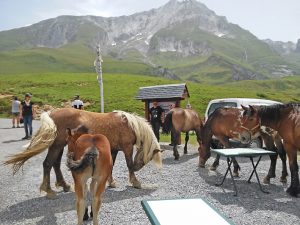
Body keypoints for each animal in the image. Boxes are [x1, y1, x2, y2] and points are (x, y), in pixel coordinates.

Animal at [3, 108, 163, 198]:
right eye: (148, 158)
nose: (138, 167)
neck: (128, 124)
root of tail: (52, 113)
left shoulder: (114, 149)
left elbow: (111, 166)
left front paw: (111, 182)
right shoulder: (127, 148)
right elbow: (128, 164)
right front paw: (136, 182)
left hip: (60, 146)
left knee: (55, 164)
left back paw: (64, 185)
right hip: (57, 145)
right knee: (48, 164)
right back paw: (48, 191)